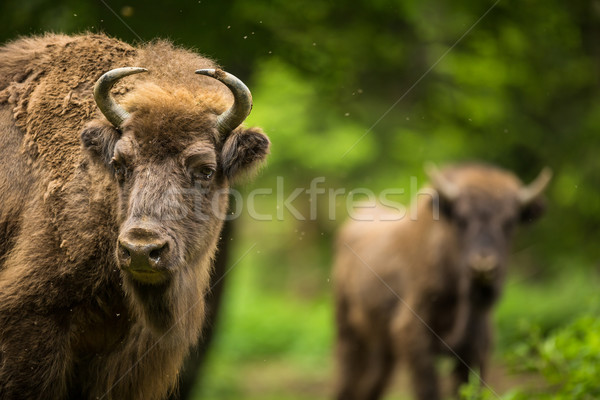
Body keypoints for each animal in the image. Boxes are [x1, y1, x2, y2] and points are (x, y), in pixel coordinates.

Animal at [332, 162, 552, 400]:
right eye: (462, 219)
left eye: (509, 221)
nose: (483, 265)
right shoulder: (415, 337)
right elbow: (429, 389)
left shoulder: (476, 348)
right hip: (348, 332)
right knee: (347, 379)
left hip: (383, 346)